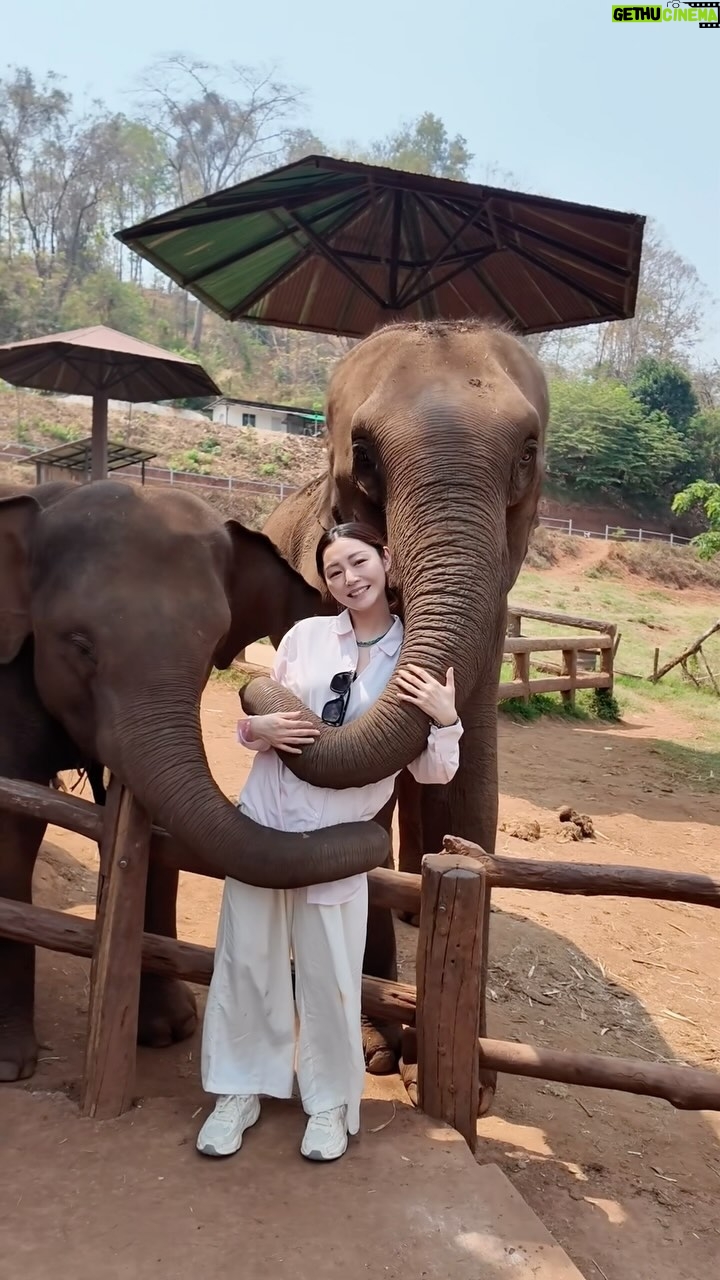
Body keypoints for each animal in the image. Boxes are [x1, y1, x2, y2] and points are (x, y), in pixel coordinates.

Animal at [0, 479, 390, 1083]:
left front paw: (167, 1031)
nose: (378, 839)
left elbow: (154, 823)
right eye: (79, 644)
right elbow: (14, 826)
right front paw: (10, 1065)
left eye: (213, 643)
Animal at [243, 319, 549, 1092]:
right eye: (364, 457)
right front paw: (379, 1049)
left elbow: (472, 797)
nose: (255, 689)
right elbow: (365, 821)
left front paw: (472, 1076)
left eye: (528, 454)